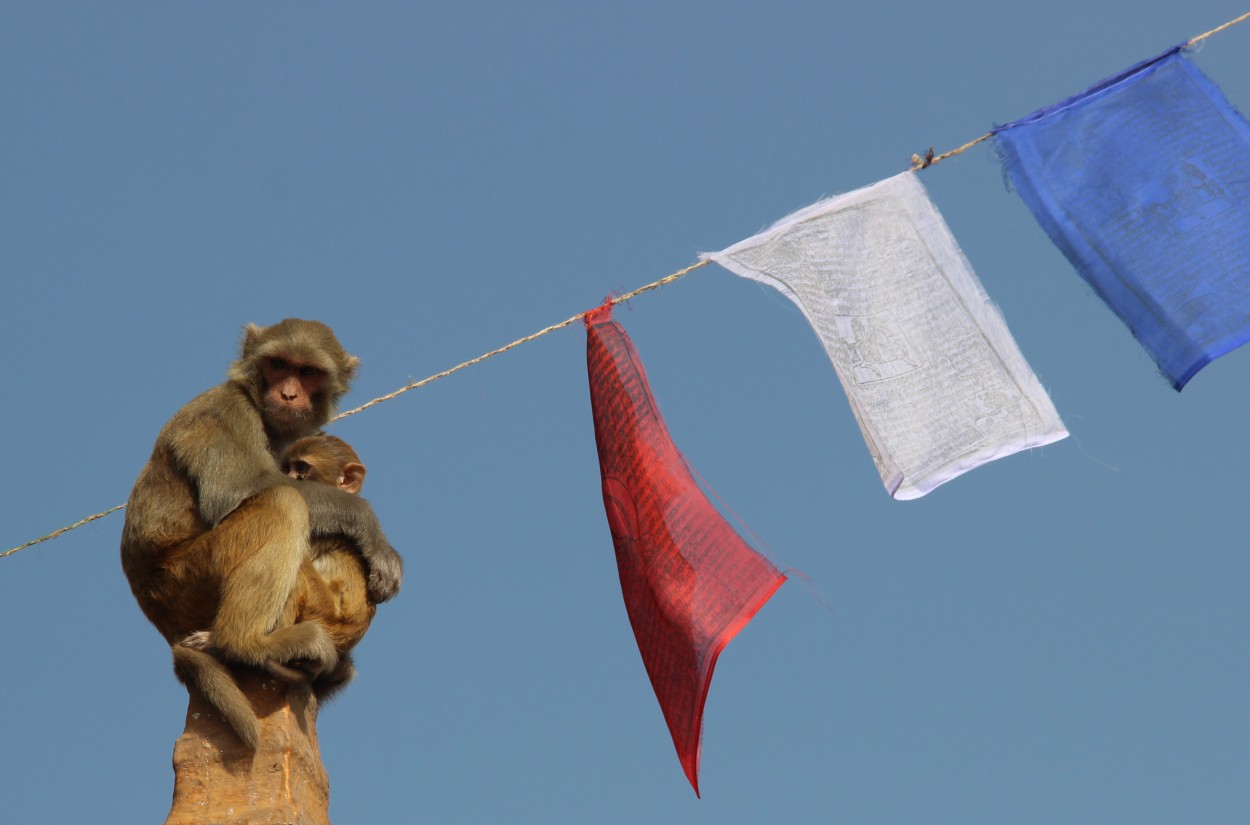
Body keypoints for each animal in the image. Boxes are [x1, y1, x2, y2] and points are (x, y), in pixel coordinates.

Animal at [120, 320, 402, 750]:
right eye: (278, 364)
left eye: (307, 372)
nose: (288, 393)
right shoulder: (226, 411)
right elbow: (237, 490)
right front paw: (370, 527)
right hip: (186, 578)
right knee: (282, 504)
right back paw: (246, 645)